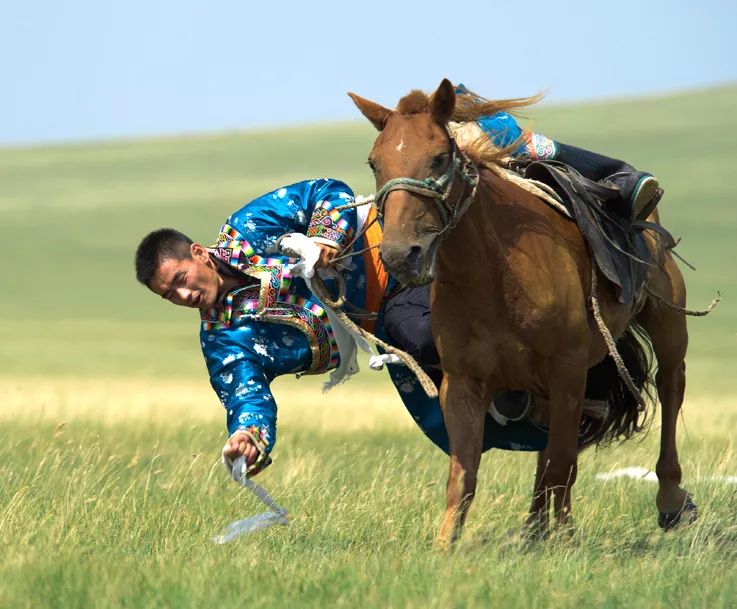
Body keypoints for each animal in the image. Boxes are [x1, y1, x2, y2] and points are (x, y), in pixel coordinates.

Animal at [348, 77, 692, 548]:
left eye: (438, 157)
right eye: (374, 162)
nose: (401, 255)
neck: (496, 274)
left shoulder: (568, 371)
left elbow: (562, 463)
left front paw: (565, 539)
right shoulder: (464, 384)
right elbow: (466, 475)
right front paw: (445, 546)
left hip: (665, 323)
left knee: (671, 386)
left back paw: (670, 501)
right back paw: (534, 529)